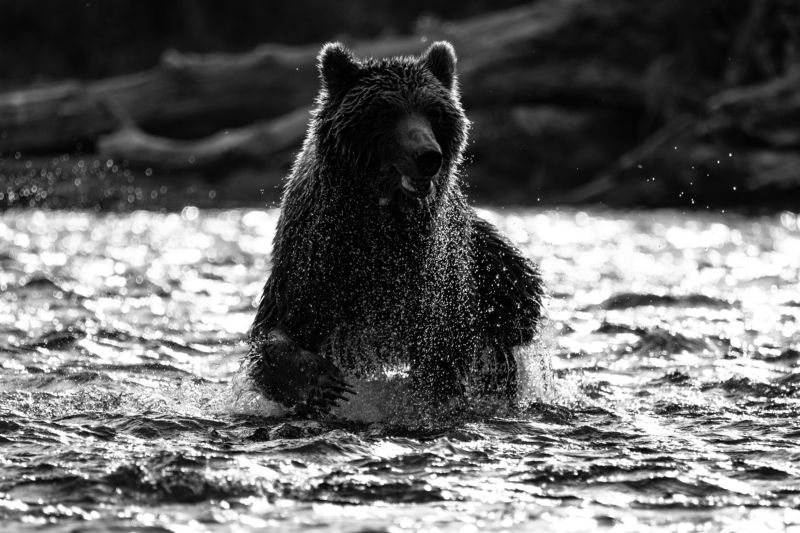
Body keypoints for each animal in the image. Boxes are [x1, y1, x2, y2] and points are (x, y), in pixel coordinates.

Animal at [246, 41, 544, 415]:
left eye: (434, 112)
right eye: (385, 112)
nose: (428, 155)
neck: (382, 220)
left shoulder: (434, 274)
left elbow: (444, 346)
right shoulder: (314, 252)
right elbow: (276, 330)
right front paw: (322, 383)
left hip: (494, 272)